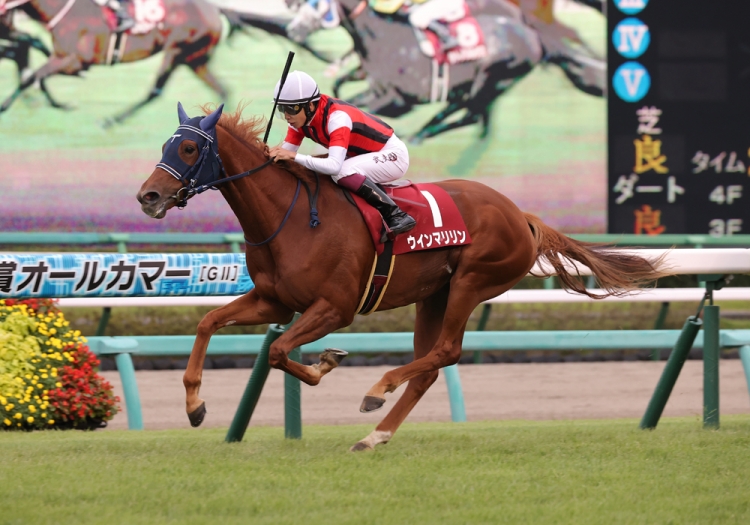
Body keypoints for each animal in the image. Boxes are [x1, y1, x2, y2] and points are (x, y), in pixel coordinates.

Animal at [138, 105, 668, 450]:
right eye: (166, 143)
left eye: (190, 147)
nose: (148, 196)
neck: (288, 218)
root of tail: (520, 214)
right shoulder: (274, 301)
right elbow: (209, 323)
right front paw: (194, 406)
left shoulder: (335, 308)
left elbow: (279, 350)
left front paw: (326, 363)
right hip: (434, 294)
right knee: (429, 367)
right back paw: (376, 435)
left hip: (473, 282)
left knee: (445, 352)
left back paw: (378, 390)